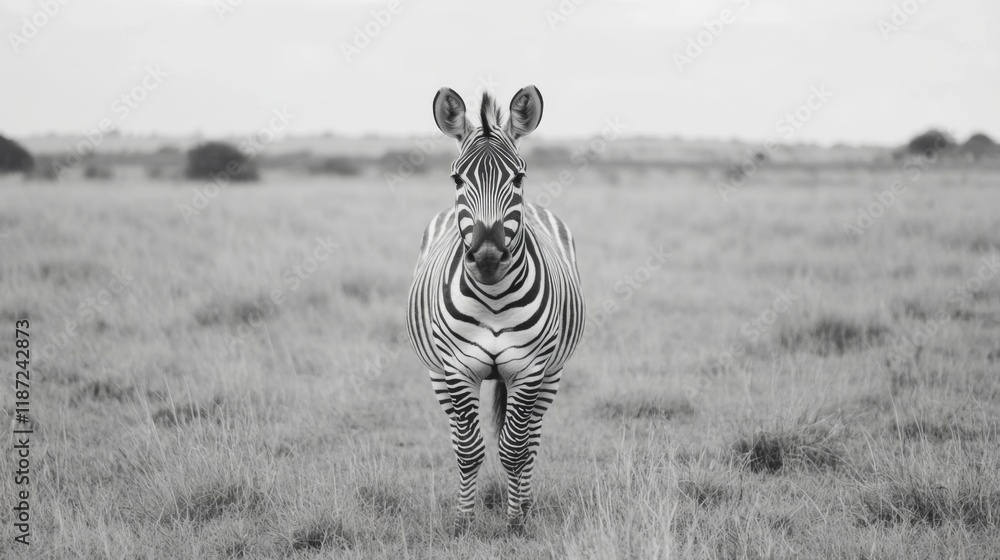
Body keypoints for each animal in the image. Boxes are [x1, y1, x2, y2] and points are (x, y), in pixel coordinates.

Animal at [406, 85, 585, 534]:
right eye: (457, 178)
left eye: (519, 177)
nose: (487, 257)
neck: (493, 300)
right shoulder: (456, 367)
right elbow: (470, 449)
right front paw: (463, 522)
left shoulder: (529, 368)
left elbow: (514, 449)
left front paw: (516, 521)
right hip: (438, 374)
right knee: (459, 436)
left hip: (552, 373)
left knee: (532, 437)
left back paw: (527, 503)